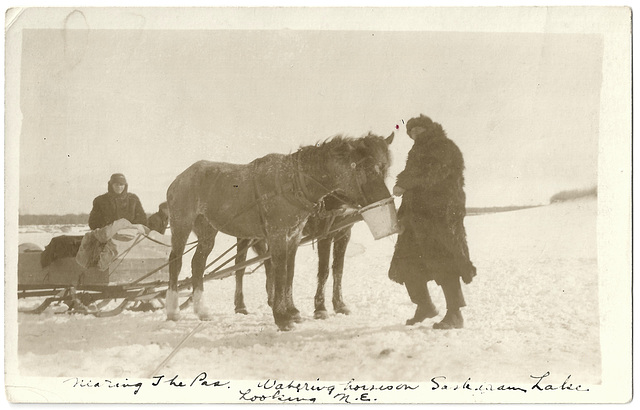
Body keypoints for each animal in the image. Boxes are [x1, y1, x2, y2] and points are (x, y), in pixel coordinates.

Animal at [165, 133, 396, 332]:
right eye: (363, 168)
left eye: (384, 167)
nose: (385, 200)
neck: (293, 183)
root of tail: (179, 179)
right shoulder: (281, 235)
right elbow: (283, 272)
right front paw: (283, 317)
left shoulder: (295, 236)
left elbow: (290, 272)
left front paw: (292, 311)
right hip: (183, 224)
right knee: (176, 263)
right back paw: (173, 310)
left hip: (207, 230)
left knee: (198, 263)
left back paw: (202, 310)